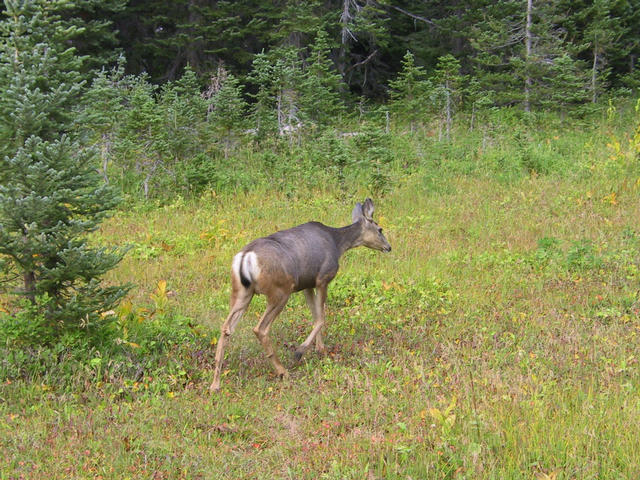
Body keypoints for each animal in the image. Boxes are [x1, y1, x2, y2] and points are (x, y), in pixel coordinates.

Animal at [210, 198, 390, 390]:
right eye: (380, 229)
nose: (388, 247)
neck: (337, 243)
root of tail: (245, 256)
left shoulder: (307, 284)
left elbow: (315, 315)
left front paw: (320, 349)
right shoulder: (322, 278)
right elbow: (321, 318)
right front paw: (300, 351)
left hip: (241, 291)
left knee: (226, 328)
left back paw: (215, 383)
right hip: (280, 290)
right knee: (261, 328)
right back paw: (283, 371)